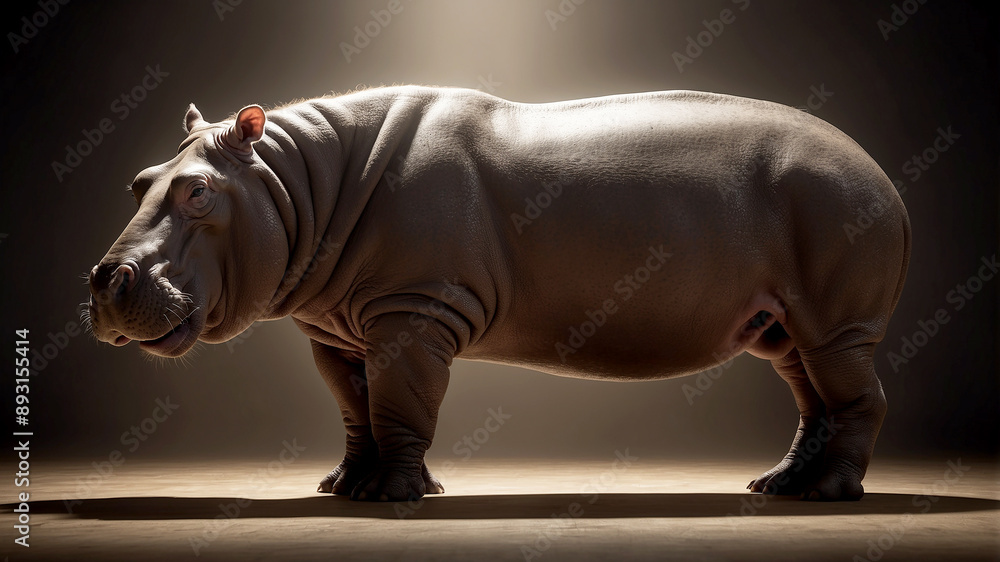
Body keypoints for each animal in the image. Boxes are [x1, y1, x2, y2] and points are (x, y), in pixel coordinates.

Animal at [86, 86, 910, 502]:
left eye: (197, 191)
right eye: (138, 181)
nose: (104, 278)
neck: (294, 180)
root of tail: (880, 173)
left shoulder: (414, 313)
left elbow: (400, 405)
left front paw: (392, 496)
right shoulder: (338, 333)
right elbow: (355, 410)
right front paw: (341, 487)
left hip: (837, 305)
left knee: (856, 395)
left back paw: (832, 495)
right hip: (781, 321)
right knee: (810, 395)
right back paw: (778, 486)